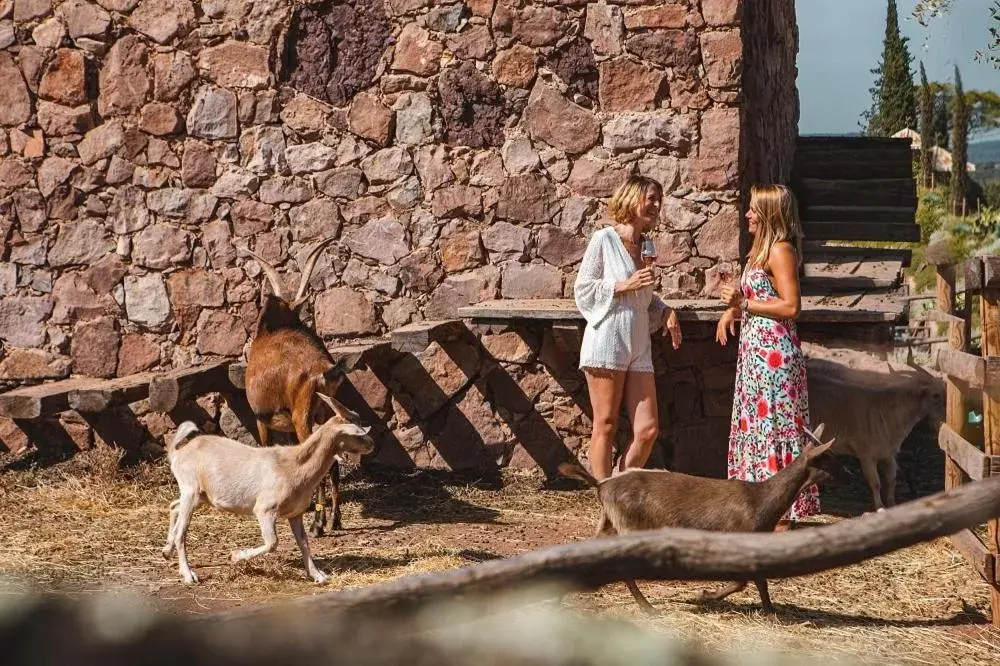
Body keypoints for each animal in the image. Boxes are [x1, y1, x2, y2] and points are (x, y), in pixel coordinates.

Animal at [162, 396, 374, 584]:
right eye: (357, 432)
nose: (371, 444)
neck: (293, 465)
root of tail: (178, 453)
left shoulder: (295, 513)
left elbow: (304, 543)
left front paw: (318, 575)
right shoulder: (265, 510)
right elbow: (273, 543)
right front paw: (235, 556)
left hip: (200, 495)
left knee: (174, 506)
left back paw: (166, 551)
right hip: (190, 488)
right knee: (181, 531)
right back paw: (188, 575)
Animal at [240, 237, 358, 536]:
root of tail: (323, 371)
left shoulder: (261, 419)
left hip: (302, 416)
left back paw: (318, 524)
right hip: (327, 413)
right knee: (332, 462)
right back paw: (334, 520)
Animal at [564, 428, 836, 616]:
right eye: (827, 459)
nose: (839, 473)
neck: (760, 500)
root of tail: (602, 485)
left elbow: (760, 581)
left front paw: (770, 611)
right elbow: (743, 581)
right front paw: (704, 595)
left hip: (610, 522)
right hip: (629, 525)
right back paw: (648, 607)